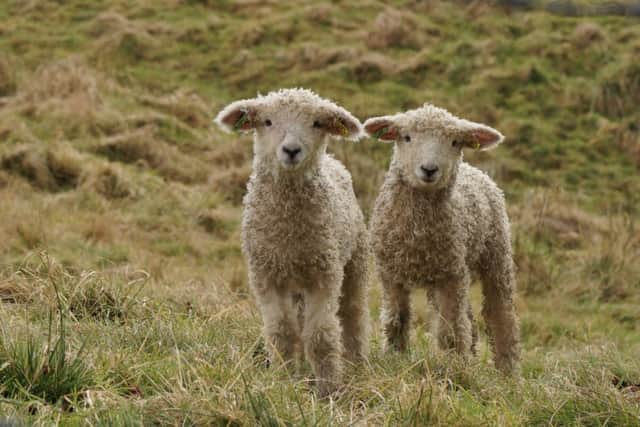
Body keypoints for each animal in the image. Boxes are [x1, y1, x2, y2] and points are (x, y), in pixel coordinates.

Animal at [214, 88, 370, 396]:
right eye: (267, 121)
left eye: (317, 124)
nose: (291, 151)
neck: (289, 231)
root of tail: (333, 160)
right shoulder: (266, 275)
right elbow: (282, 332)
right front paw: (284, 380)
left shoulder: (325, 274)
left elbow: (321, 335)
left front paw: (328, 388)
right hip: (295, 281)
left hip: (354, 263)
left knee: (353, 315)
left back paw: (356, 364)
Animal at [364, 104, 520, 374]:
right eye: (406, 137)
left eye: (455, 142)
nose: (429, 170)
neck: (417, 234)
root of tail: (474, 170)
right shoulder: (390, 274)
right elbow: (396, 320)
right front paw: (394, 357)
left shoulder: (450, 276)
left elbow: (451, 330)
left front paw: (454, 366)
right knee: (469, 318)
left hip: (495, 253)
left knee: (499, 312)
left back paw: (507, 368)